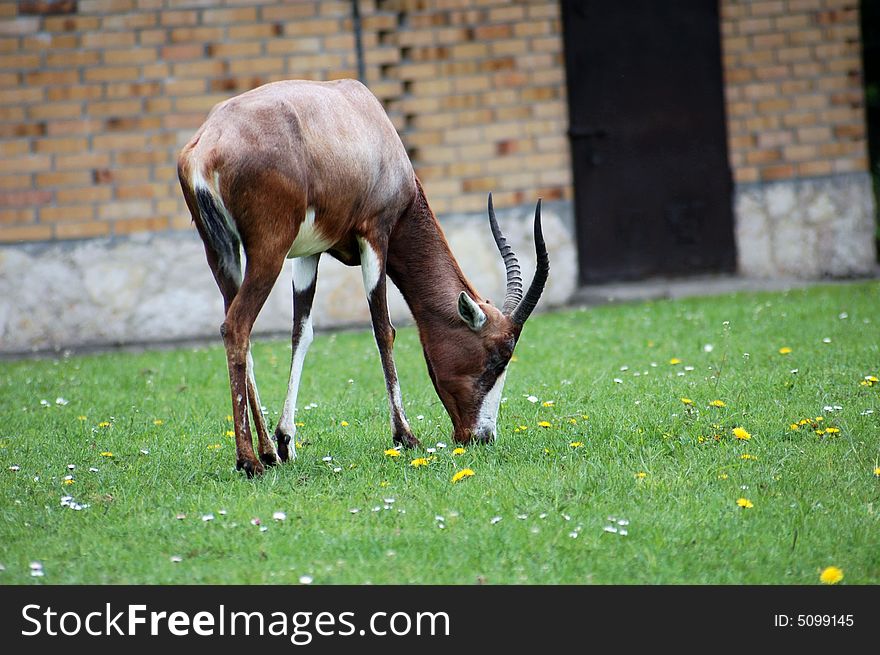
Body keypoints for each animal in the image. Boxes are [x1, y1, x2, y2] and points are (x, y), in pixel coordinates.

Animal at [177, 79, 552, 480]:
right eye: (498, 358)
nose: (482, 436)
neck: (369, 120)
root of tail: (207, 146)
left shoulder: (309, 252)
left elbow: (301, 333)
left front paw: (286, 442)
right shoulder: (375, 234)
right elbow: (383, 330)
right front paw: (406, 436)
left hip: (222, 254)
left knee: (238, 331)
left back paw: (267, 453)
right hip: (268, 252)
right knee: (236, 327)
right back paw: (248, 460)